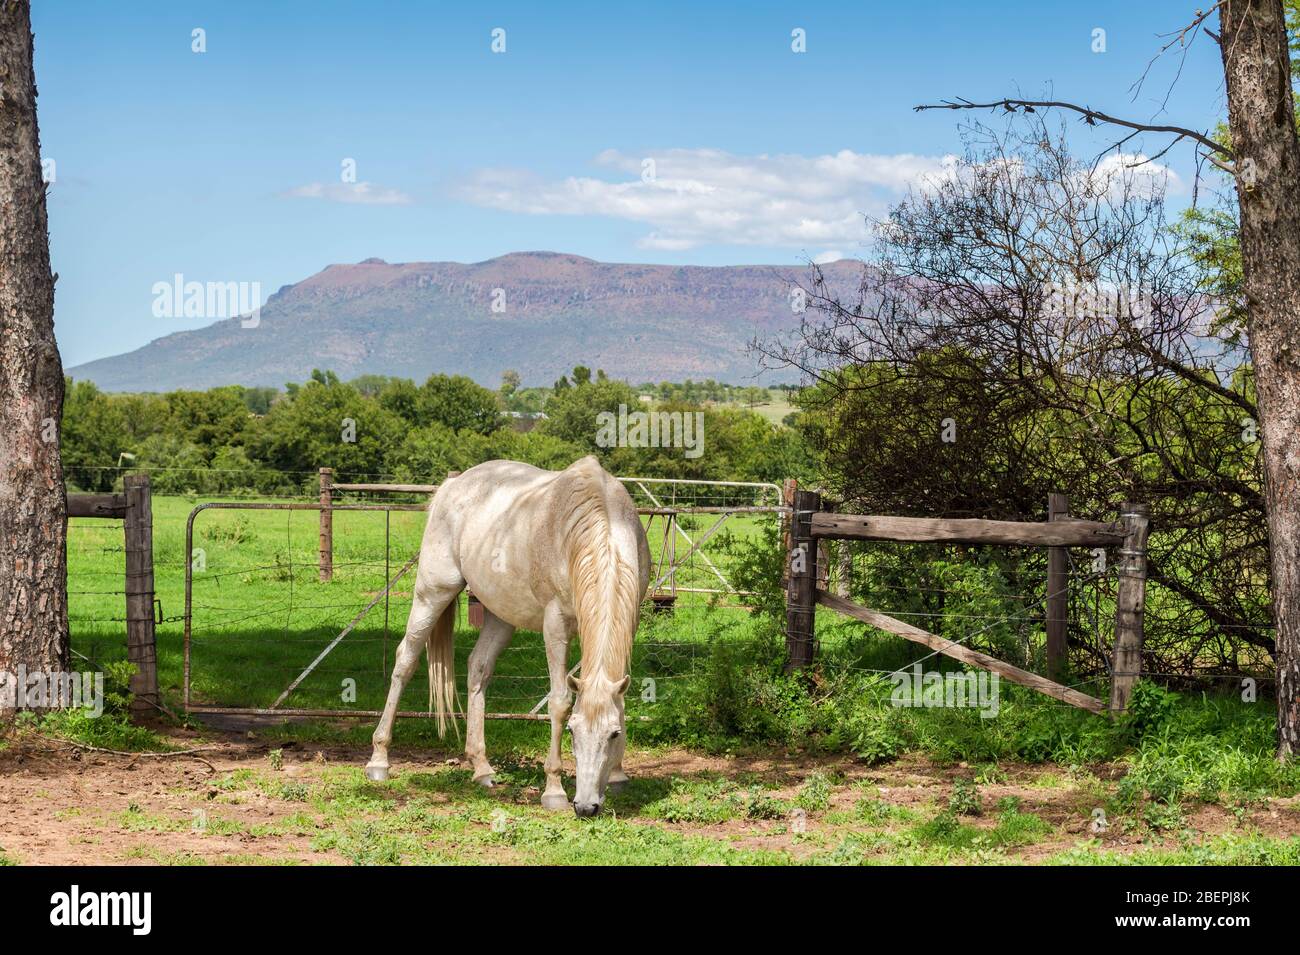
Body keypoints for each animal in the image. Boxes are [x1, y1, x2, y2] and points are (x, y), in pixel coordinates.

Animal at [365, 455, 650, 817]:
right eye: (572, 731)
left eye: (614, 734)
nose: (586, 806)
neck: (603, 525)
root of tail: (452, 485)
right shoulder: (555, 624)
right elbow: (559, 702)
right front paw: (554, 789)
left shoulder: (629, 621)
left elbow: (618, 697)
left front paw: (616, 775)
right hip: (432, 593)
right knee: (405, 660)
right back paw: (379, 760)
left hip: (499, 615)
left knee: (478, 668)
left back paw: (482, 768)